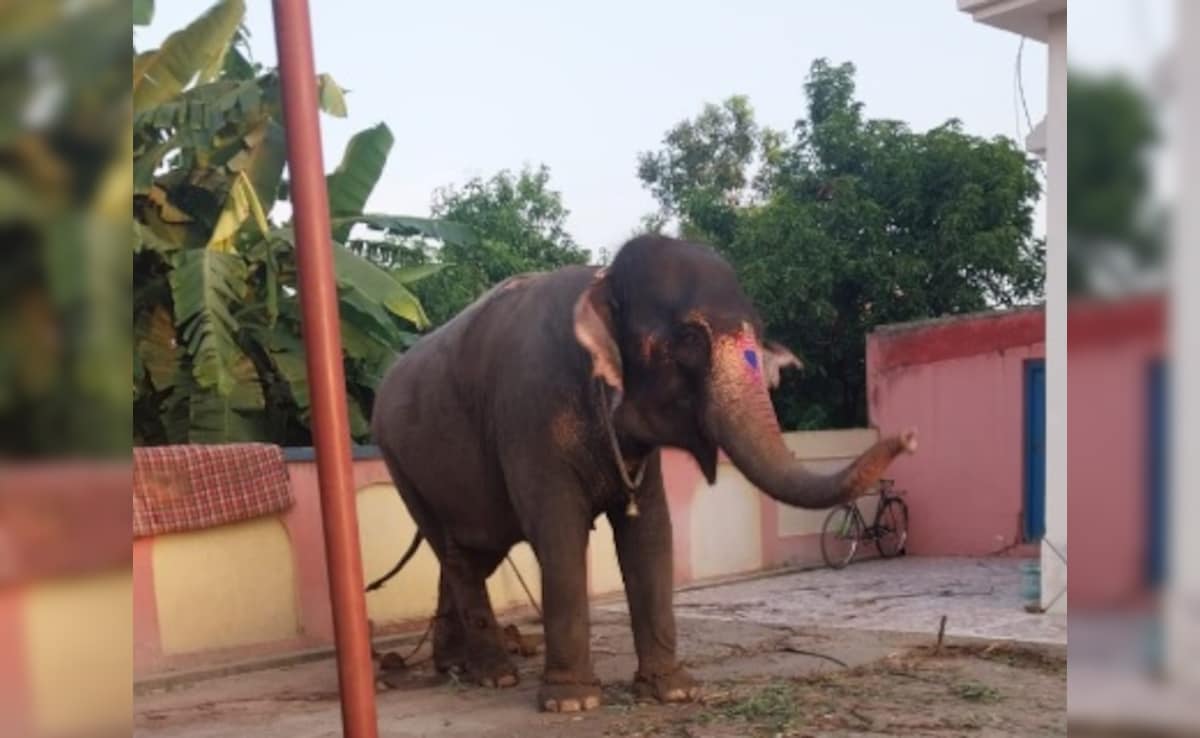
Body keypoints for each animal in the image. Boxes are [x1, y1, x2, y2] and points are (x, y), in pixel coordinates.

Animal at [369, 234, 916, 712]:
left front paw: (674, 691)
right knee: (461, 555)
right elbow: (558, 531)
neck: (602, 280)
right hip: (402, 463)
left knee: (468, 555)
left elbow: (651, 530)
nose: (908, 439)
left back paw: (454, 667)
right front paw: (572, 703)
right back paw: (494, 676)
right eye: (691, 338)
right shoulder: (529, 417)